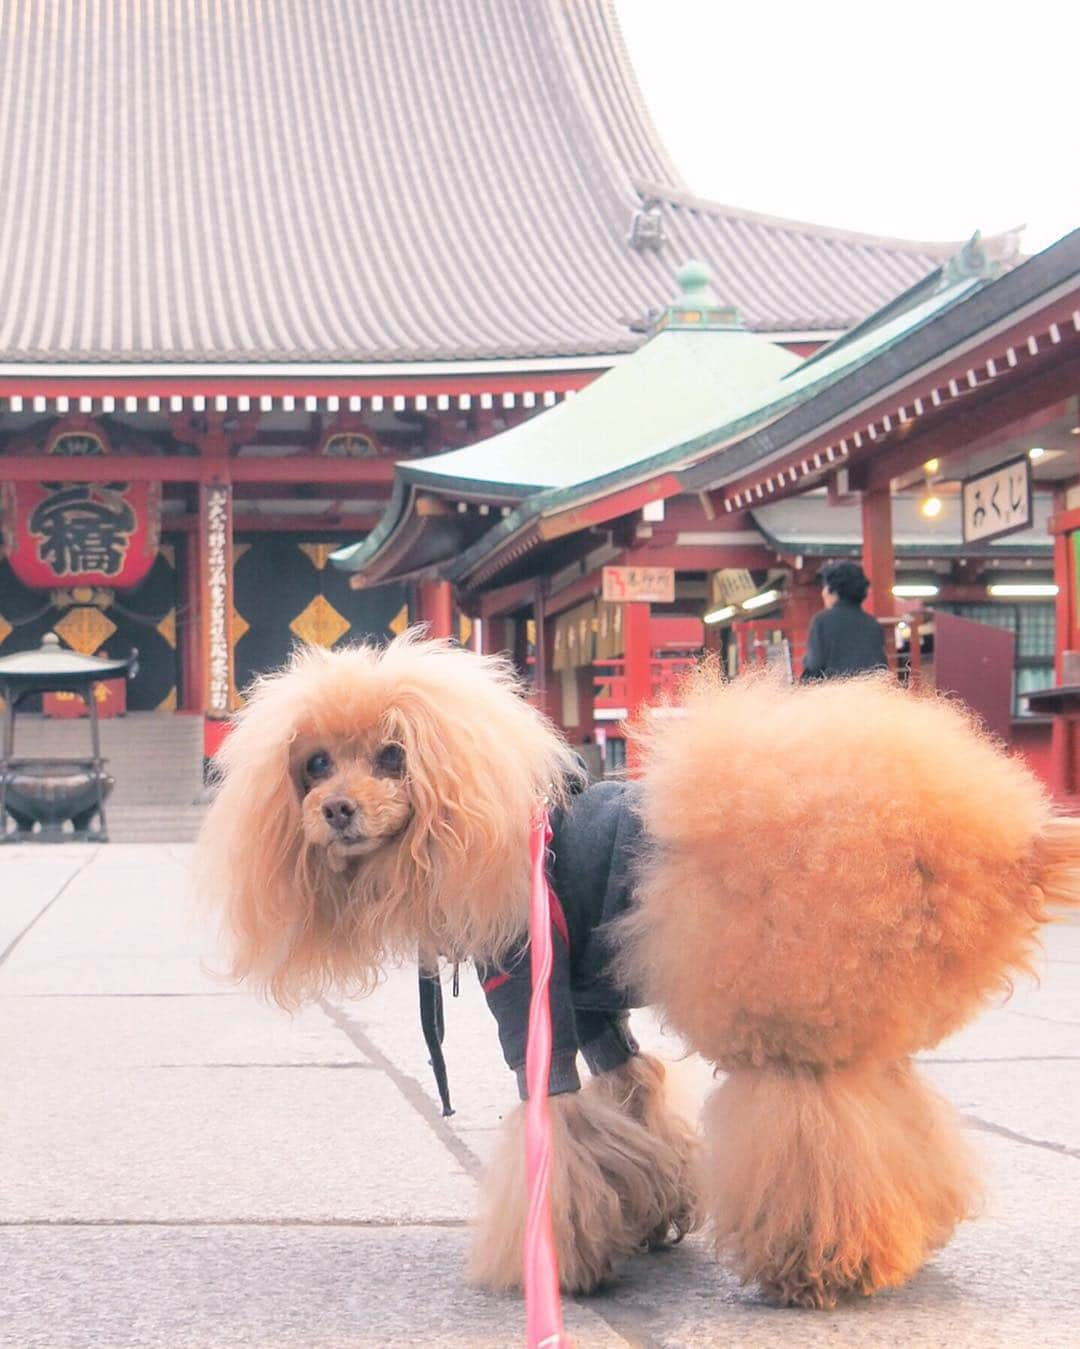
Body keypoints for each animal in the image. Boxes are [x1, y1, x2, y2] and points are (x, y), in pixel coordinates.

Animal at [195, 631, 1078, 1305]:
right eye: (314, 764)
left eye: (391, 757)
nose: (336, 809)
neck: (484, 827)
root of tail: (971, 839)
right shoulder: (590, 1002)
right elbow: (633, 1089)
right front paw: (650, 1209)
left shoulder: (532, 995)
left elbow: (555, 1124)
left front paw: (555, 1262)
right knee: (891, 1116)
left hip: (790, 1012)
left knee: (819, 1133)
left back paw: (819, 1265)